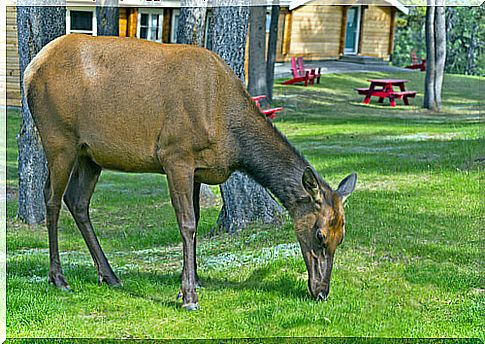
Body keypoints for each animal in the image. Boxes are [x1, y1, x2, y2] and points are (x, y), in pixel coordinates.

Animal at [23, 34, 356, 310]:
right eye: (320, 234)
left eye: (341, 236)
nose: (322, 292)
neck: (231, 135)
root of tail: (29, 70)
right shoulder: (176, 155)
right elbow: (187, 223)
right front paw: (189, 296)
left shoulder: (198, 169)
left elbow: (194, 219)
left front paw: (192, 282)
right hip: (59, 138)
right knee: (51, 197)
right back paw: (59, 278)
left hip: (90, 153)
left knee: (77, 201)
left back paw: (110, 275)